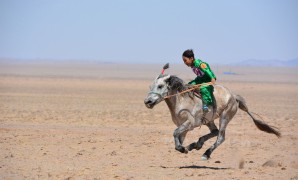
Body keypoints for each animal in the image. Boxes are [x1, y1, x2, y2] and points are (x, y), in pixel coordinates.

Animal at [143, 65, 280, 160]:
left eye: (160, 86)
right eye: (150, 87)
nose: (147, 101)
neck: (181, 101)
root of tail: (233, 96)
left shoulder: (190, 124)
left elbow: (175, 133)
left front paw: (183, 149)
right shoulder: (183, 127)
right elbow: (178, 138)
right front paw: (185, 148)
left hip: (225, 117)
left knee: (220, 137)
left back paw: (205, 153)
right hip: (209, 120)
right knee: (215, 131)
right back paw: (196, 144)